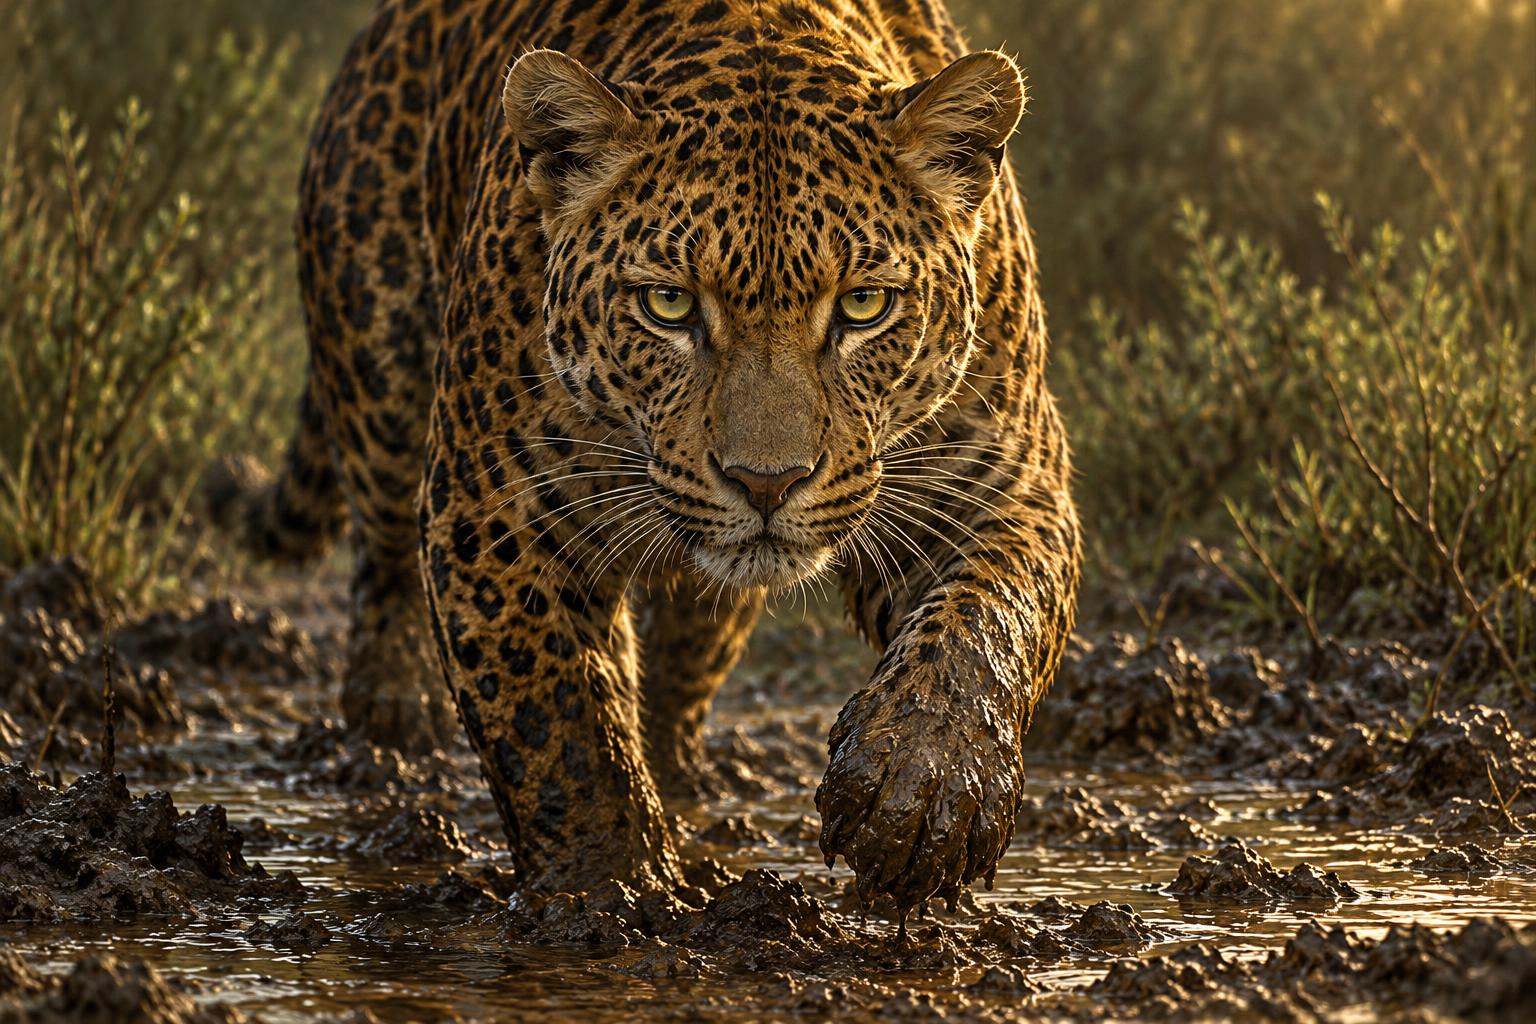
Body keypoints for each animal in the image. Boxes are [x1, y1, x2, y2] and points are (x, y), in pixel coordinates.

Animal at [234, 0, 1081, 910]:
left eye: (863, 305)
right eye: (669, 304)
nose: (766, 483)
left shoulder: (1003, 479)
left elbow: (980, 622)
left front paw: (923, 790)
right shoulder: (492, 511)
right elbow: (559, 721)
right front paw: (611, 890)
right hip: (380, 377)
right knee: (386, 562)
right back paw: (391, 716)